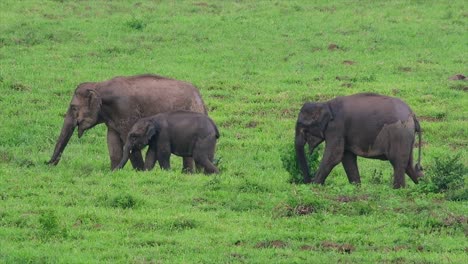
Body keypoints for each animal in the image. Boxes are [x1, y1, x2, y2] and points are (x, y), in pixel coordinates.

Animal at [47, 73, 207, 171]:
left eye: (73, 107)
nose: (48, 163)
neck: (99, 86)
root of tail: (200, 97)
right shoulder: (112, 120)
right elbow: (112, 144)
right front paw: (113, 171)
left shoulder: (125, 111)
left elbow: (129, 142)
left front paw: (139, 172)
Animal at [296, 92, 424, 188]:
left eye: (303, 128)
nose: (307, 182)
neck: (325, 104)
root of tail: (412, 114)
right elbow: (347, 157)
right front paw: (356, 188)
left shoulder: (336, 128)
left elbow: (334, 156)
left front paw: (314, 186)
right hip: (406, 136)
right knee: (409, 165)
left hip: (399, 134)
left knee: (398, 162)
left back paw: (398, 190)